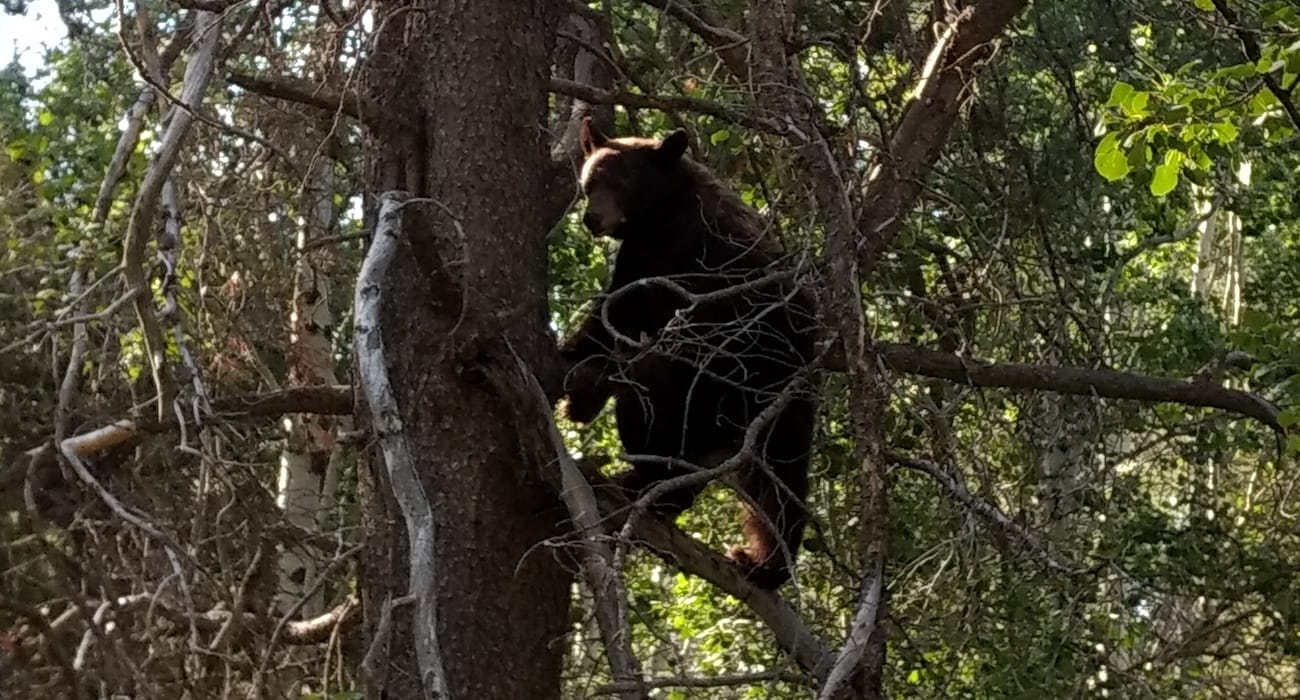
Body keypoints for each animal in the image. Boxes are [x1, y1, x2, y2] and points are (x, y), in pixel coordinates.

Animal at [559, 117, 821, 585]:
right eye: (589, 182)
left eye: (623, 182)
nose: (592, 218)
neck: (665, 207)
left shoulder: (674, 254)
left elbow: (621, 315)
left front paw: (580, 372)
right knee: (775, 477)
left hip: (726, 373)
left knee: (654, 395)